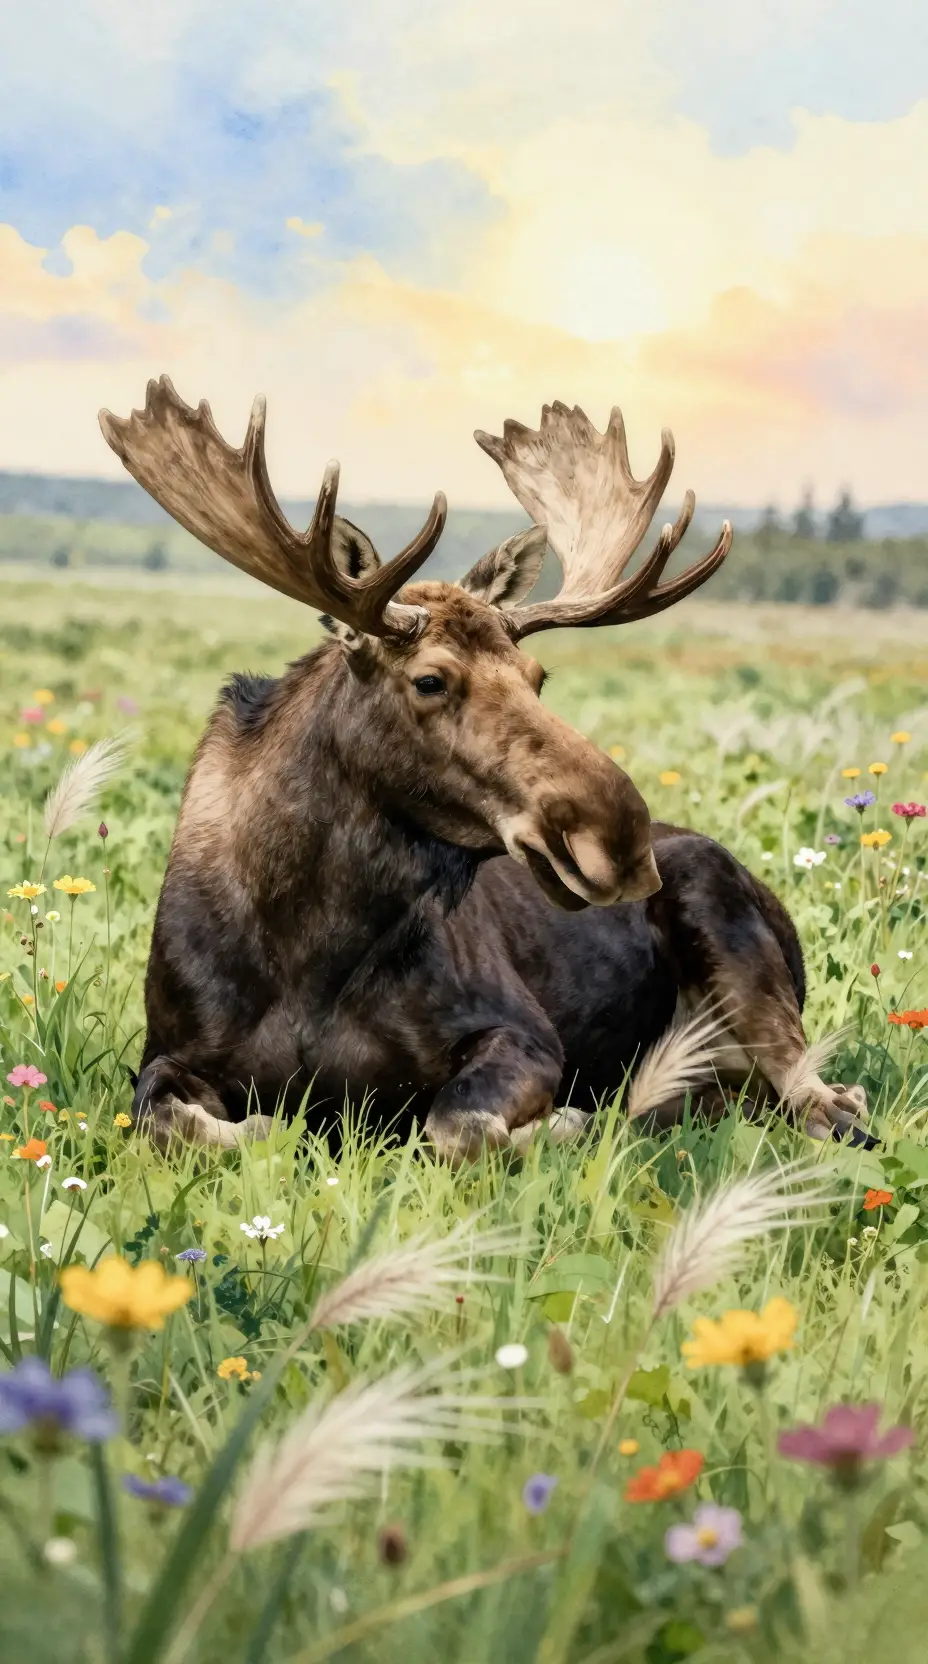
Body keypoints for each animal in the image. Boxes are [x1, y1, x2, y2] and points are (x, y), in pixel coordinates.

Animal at [98, 377, 871, 1163]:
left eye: (537, 676)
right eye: (430, 680)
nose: (620, 837)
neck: (310, 948)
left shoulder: (522, 1033)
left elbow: (454, 1127)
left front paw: (563, 1123)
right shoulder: (168, 1052)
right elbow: (181, 1124)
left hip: (739, 948)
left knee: (828, 1099)